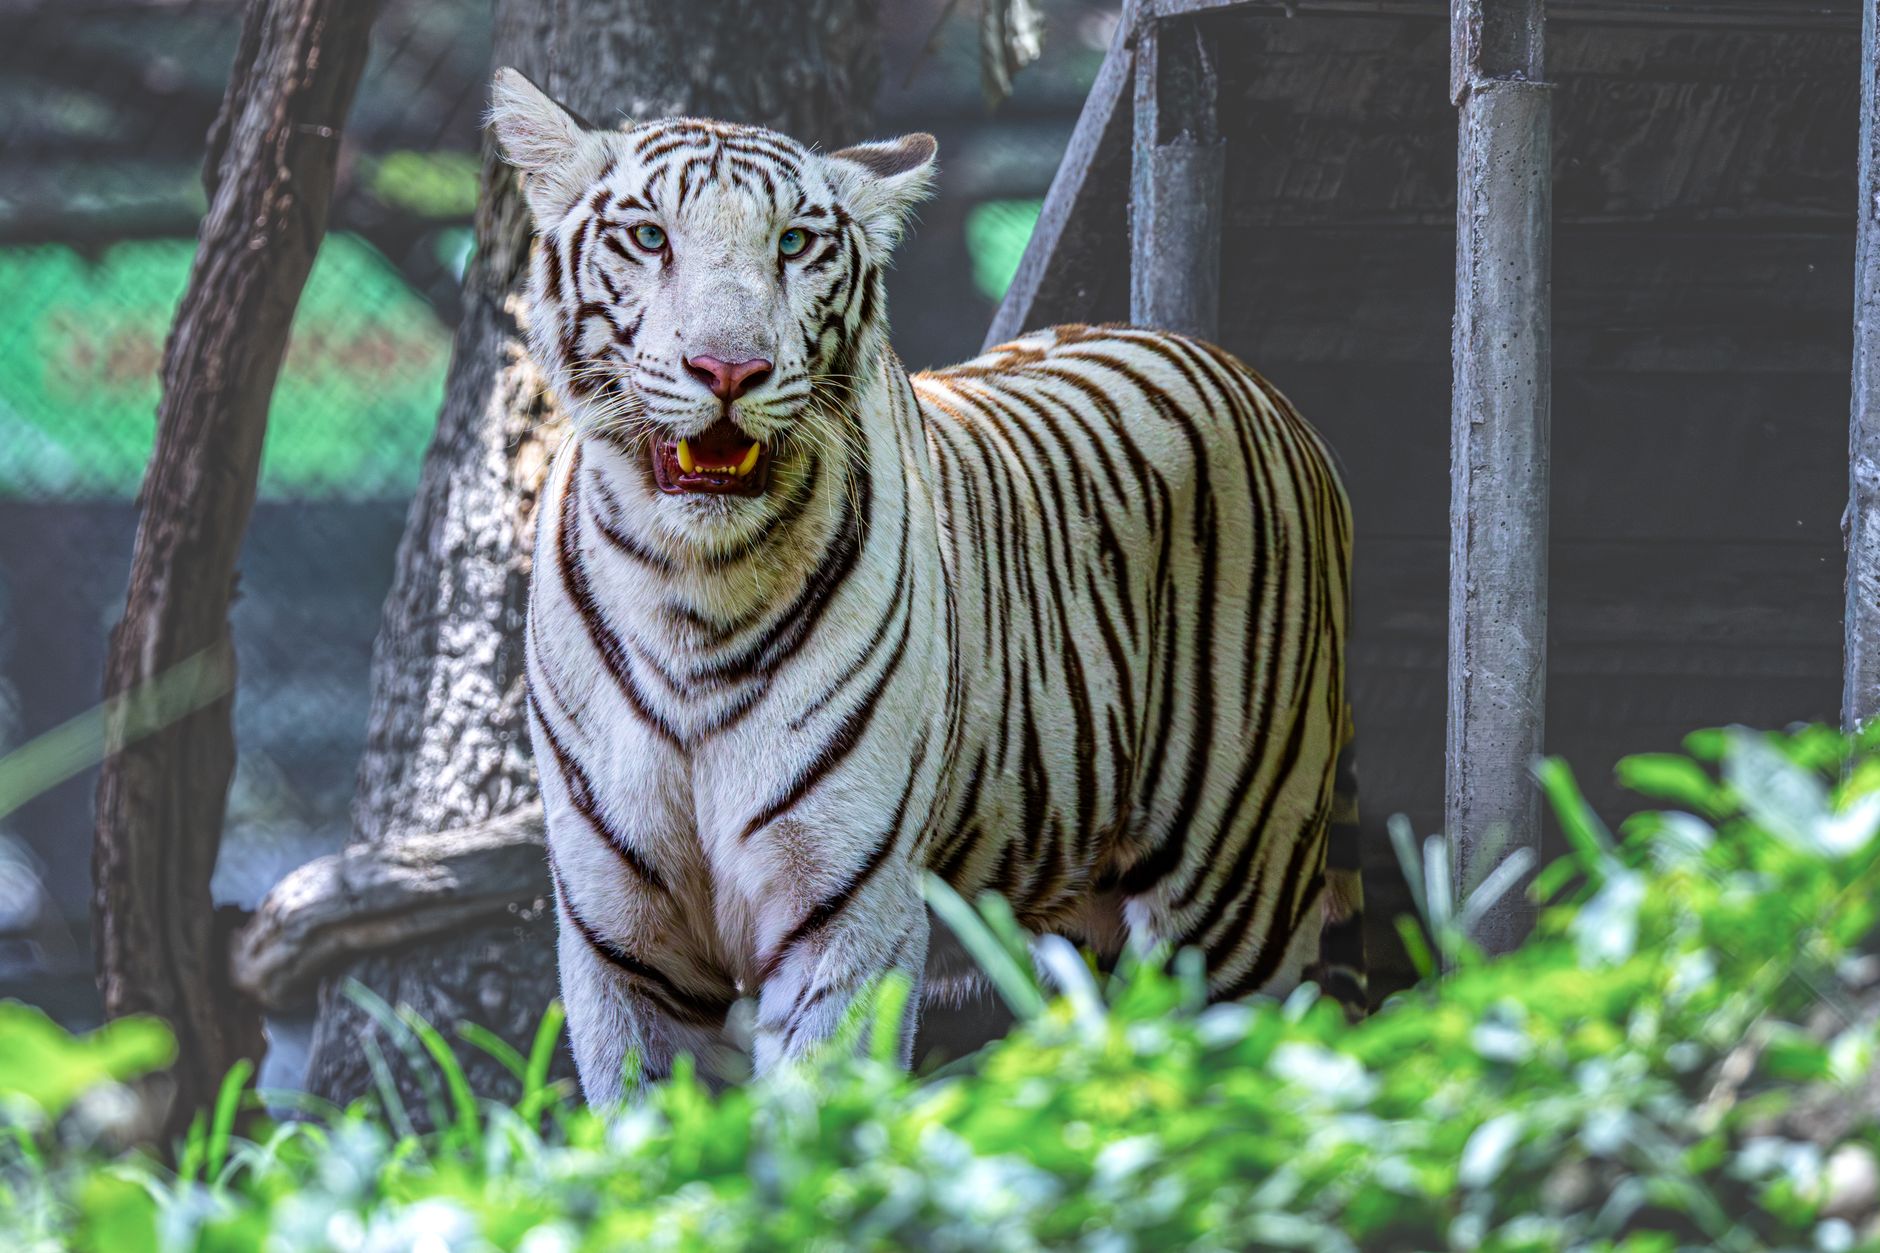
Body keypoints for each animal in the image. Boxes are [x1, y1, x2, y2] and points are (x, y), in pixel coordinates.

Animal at [489, 66, 1363, 1105]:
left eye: (792, 244)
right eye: (651, 237)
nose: (729, 368)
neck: (691, 590)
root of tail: (1239, 371)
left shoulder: (843, 912)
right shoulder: (622, 939)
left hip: (1238, 896)